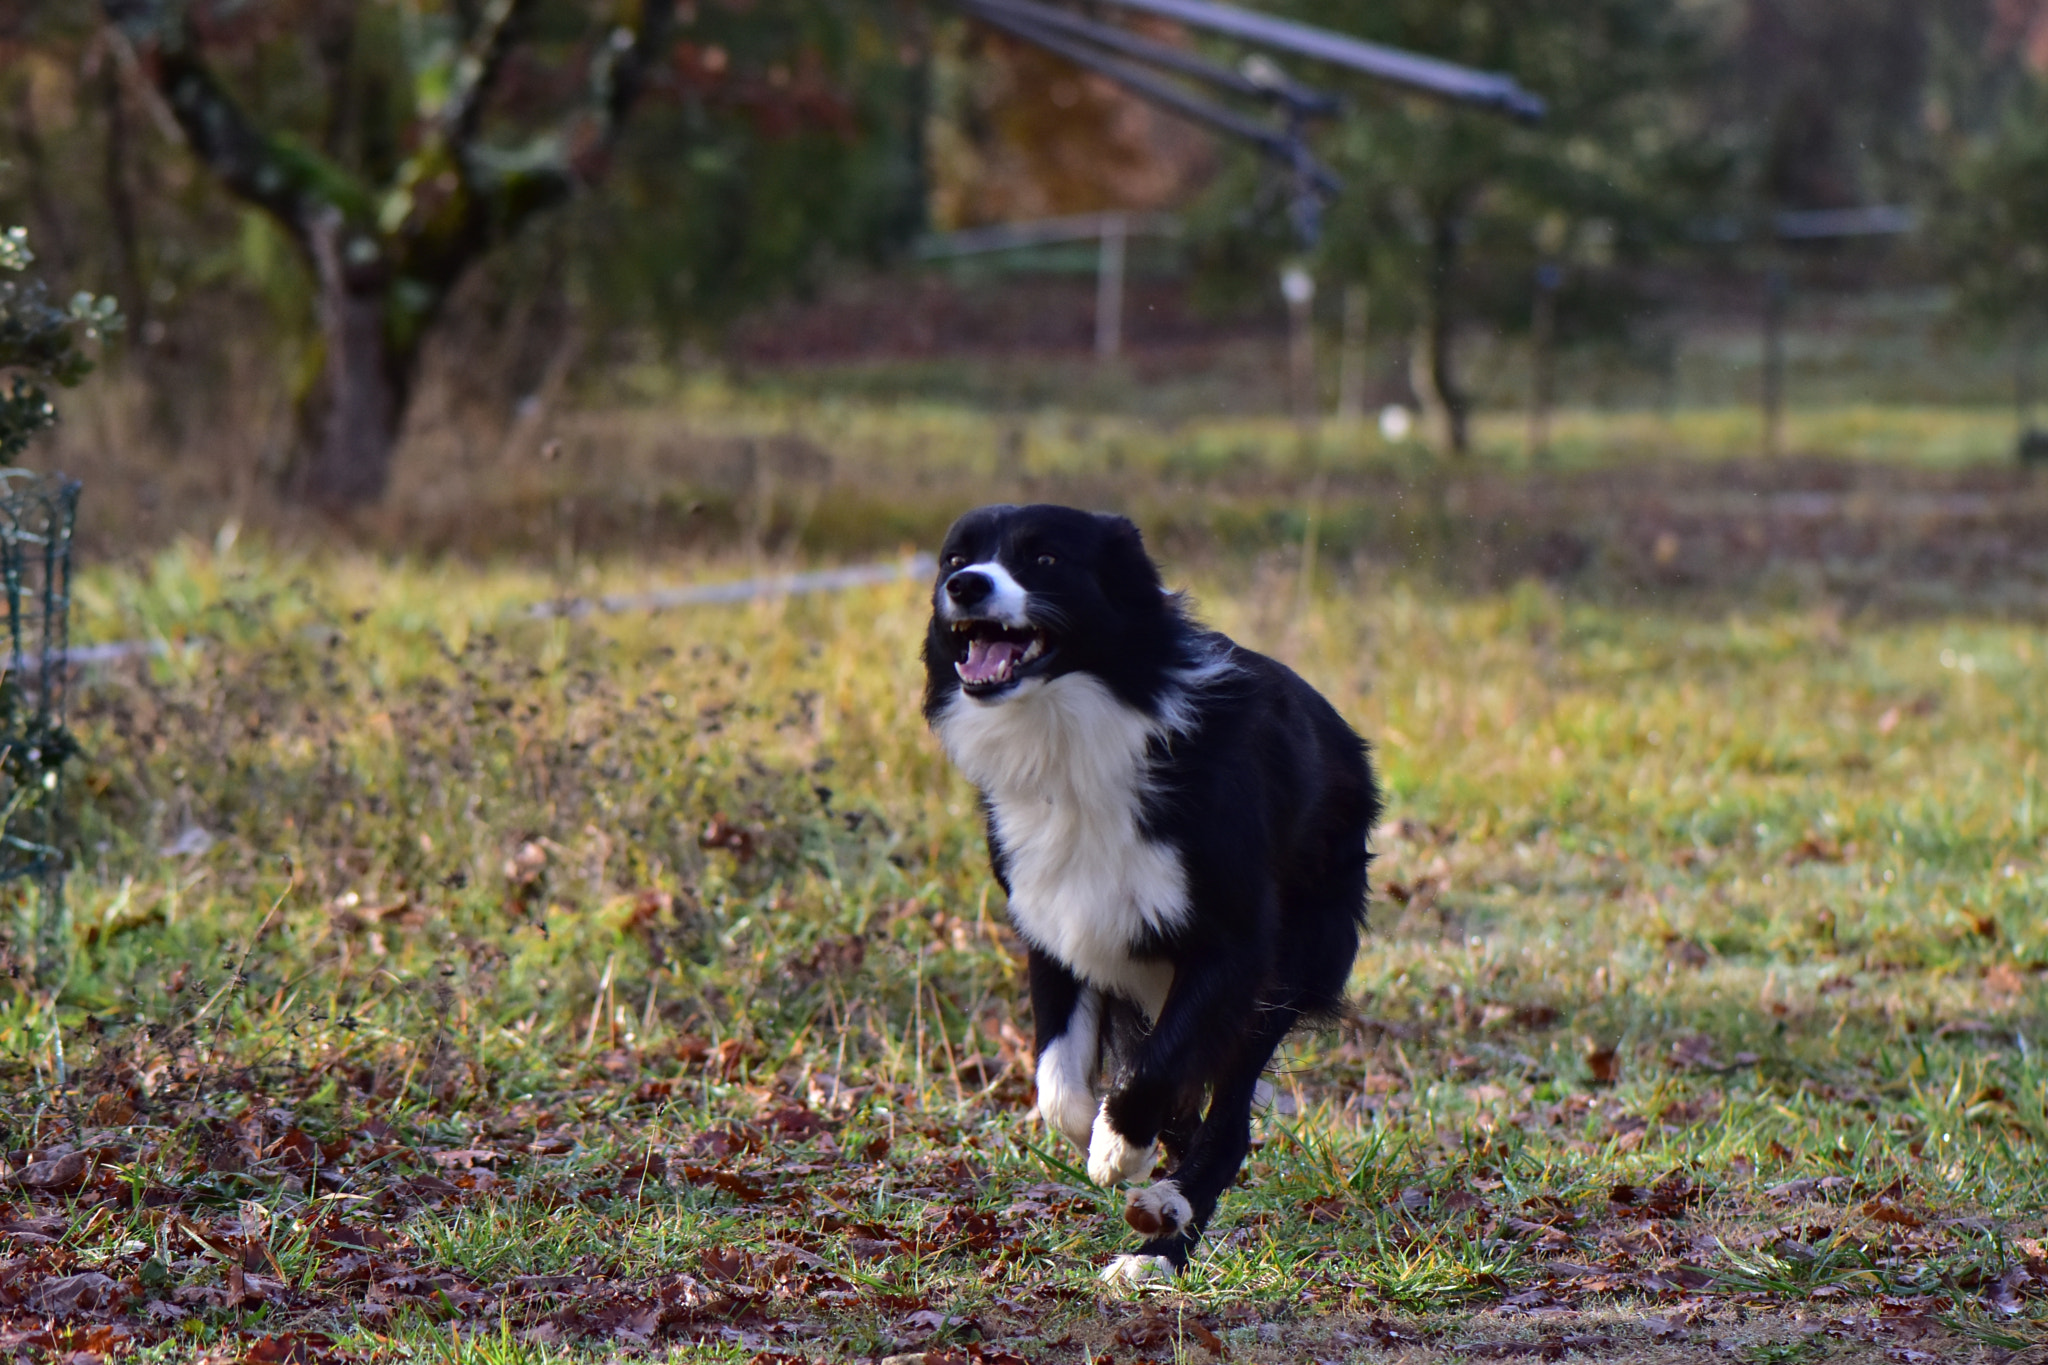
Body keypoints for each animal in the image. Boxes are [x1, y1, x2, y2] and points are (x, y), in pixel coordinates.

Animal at [925, 507, 1376, 1285]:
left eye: (1044, 558)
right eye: (956, 557)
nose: (965, 585)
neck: (1070, 734)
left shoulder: (1235, 938)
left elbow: (1158, 1066)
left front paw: (1117, 1146)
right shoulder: (1051, 920)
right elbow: (1058, 1080)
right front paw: (1098, 1126)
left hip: (1294, 959)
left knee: (1230, 1123)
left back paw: (1161, 1232)